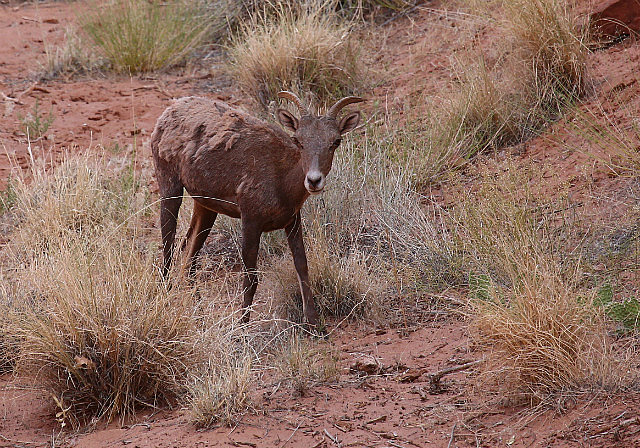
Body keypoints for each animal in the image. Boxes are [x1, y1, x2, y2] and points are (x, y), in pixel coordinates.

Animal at [147, 91, 362, 326]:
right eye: (298, 140)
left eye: (336, 141)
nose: (314, 181)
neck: (281, 181)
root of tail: (168, 112)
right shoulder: (251, 222)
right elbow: (251, 278)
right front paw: (243, 326)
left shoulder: (292, 222)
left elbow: (302, 267)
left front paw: (314, 324)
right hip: (170, 189)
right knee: (168, 251)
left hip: (205, 208)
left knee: (188, 257)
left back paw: (199, 313)